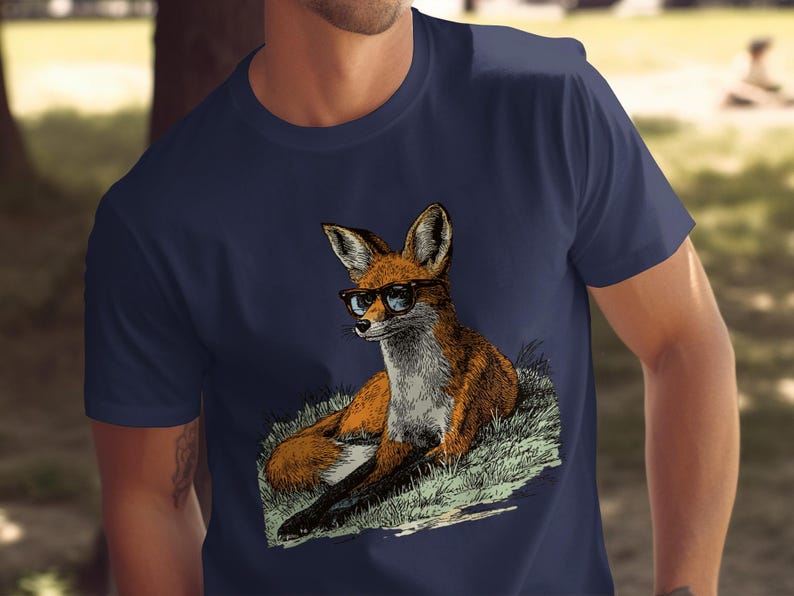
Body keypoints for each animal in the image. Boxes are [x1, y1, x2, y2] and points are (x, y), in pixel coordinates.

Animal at [265, 202, 519, 539]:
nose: (362, 324)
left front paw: (336, 514)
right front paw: (303, 518)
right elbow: (342, 486)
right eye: (362, 299)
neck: (418, 391)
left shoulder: (452, 443)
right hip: (363, 424)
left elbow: (379, 486)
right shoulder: (392, 443)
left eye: (397, 295)